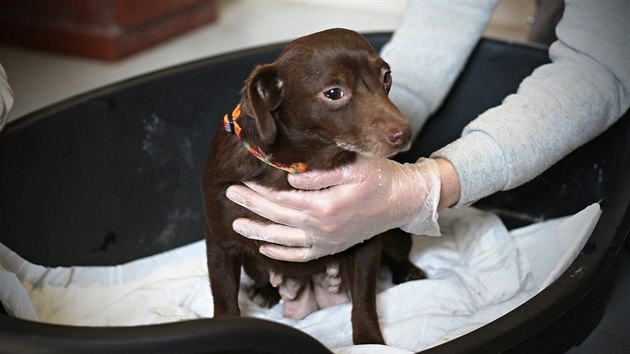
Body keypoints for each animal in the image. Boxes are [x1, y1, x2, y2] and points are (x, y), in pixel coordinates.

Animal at [205, 29, 428, 344]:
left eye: (386, 76)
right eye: (334, 93)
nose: (405, 135)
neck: (302, 162)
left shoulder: (366, 241)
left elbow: (364, 300)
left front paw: (369, 341)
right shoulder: (219, 243)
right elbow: (225, 302)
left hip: (393, 231)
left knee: (399, 254)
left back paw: (408, 272)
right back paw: (266, 291)